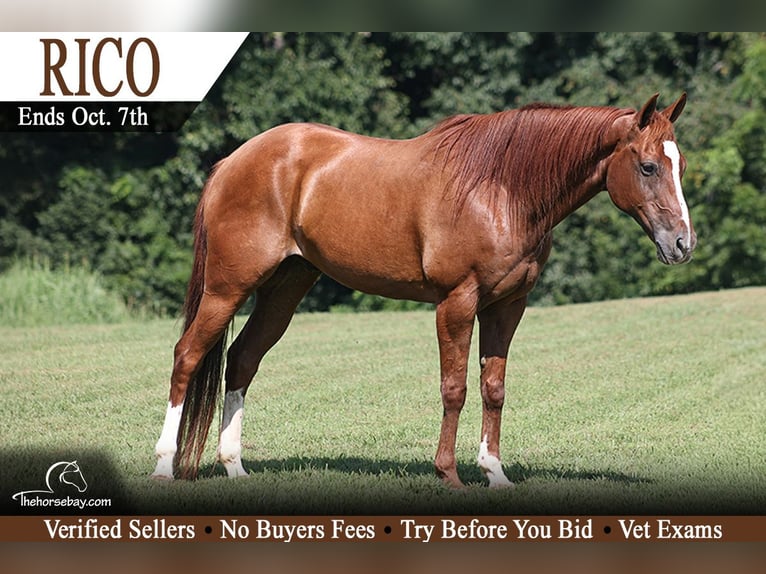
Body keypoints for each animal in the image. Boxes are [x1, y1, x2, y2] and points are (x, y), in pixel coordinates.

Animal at [151, 93, 695, 488]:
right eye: (648, 166)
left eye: (680, 165)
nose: (683, 243)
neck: (501, 189)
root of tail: (232, 161)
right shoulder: (457, 302)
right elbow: (454, 388)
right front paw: (449, 474)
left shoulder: (506, 307)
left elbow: (493, 389)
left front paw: (495, 474)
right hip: (227, 287)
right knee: (188, 356)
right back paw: (163, 465)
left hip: (286, 287)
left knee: (241, 360)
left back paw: (235, 467)